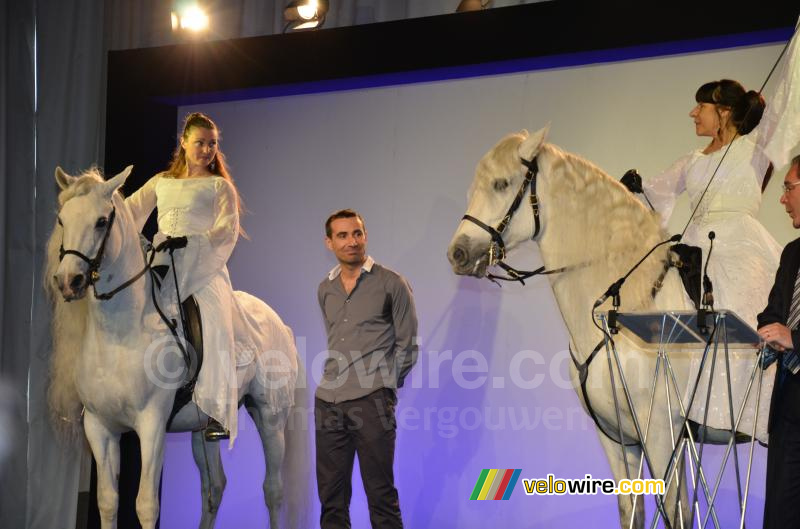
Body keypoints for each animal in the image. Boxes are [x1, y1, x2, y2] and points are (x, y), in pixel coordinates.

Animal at [45, 167, 310, 528]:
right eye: (62, 219)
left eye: (101, 222)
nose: (68, 281)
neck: (119, 336)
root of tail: (279, 324)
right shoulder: (100, 428)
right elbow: (107, 502)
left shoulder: (151, 425)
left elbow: (146, 505)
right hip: (205, 424)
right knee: (215, 487)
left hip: (270, 416)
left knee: (273, 490)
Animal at [444, 127, 744, 528]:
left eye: (501, 183)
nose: (457, 253)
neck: (628, 306)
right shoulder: (618, 439)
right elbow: (631, 511)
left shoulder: (662, 435)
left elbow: (675, 511)